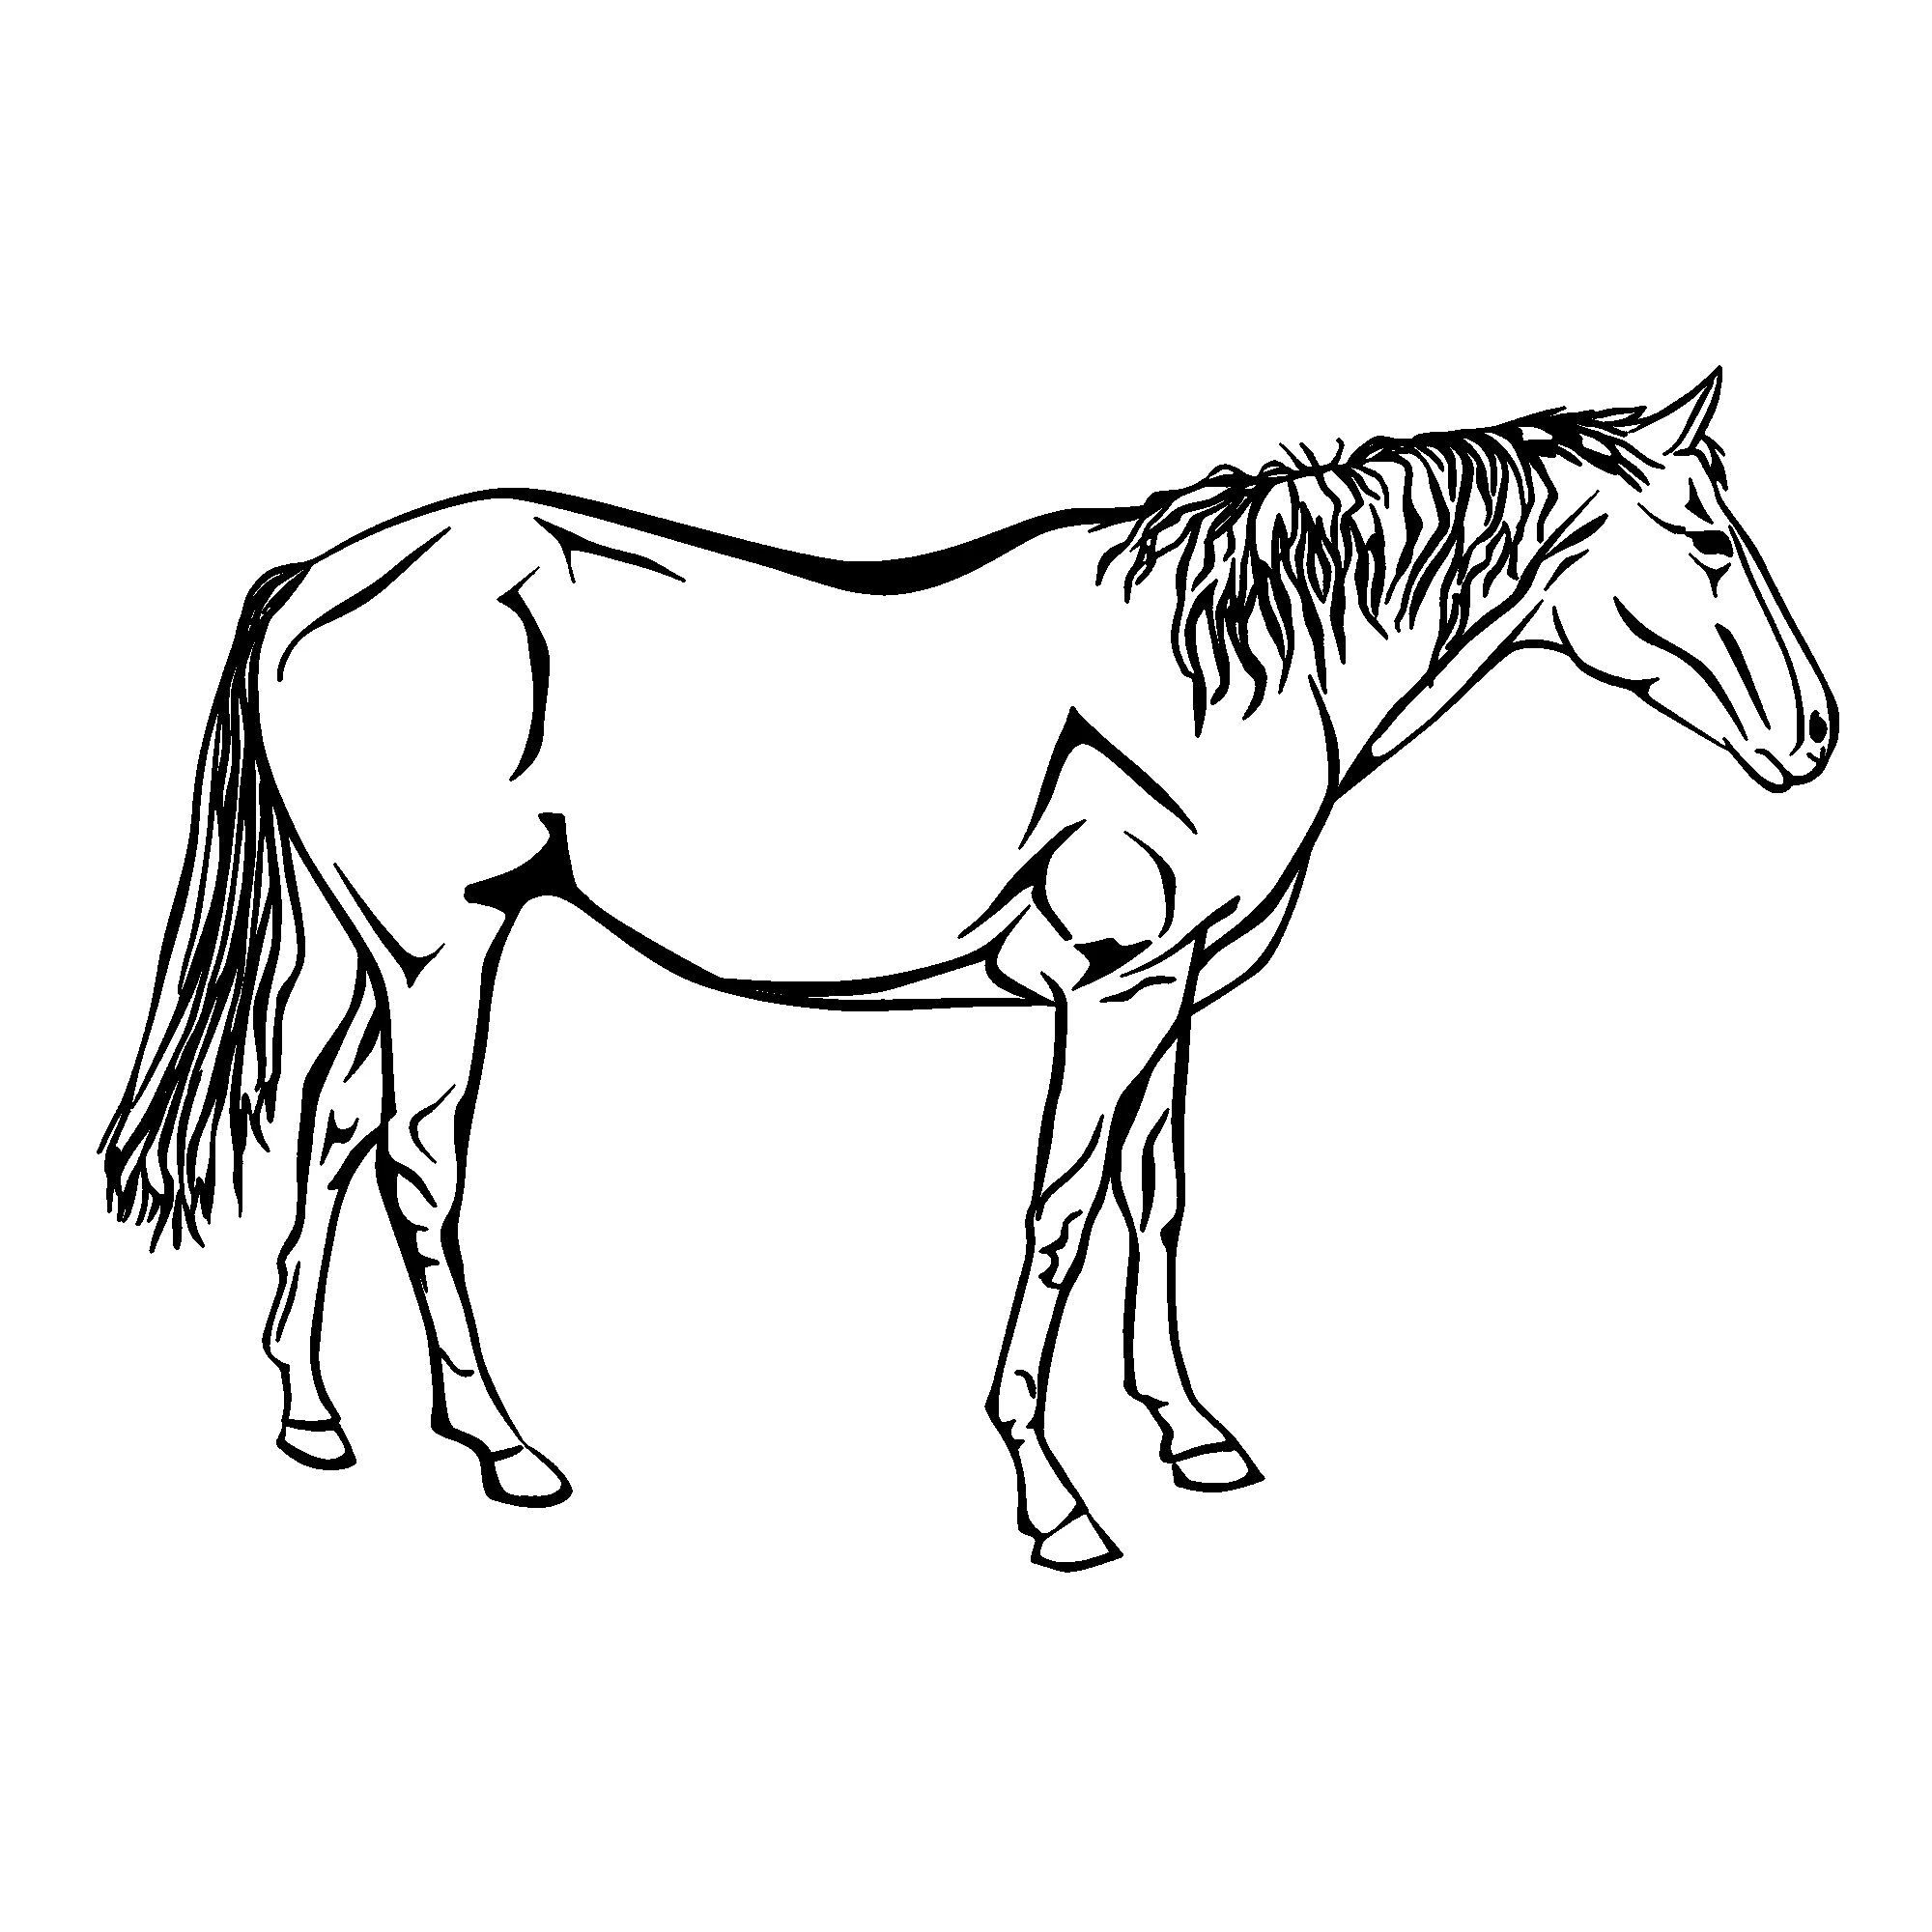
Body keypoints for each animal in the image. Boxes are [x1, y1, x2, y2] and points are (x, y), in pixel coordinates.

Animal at [101, 368, 1836, 1569]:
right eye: (1706, 539)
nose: (1816, 733)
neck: (1210, 676)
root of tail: (324, 570)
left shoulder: (1177, 995)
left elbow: (1160, 1199)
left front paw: (1191, 1434)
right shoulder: (1107, 988)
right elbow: (1060, 1217)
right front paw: (1052, 1496)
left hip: (386, 943)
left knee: (329, 1127)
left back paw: (309, 1412)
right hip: (446, 938)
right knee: (416, 1157)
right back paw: (505, 1447)